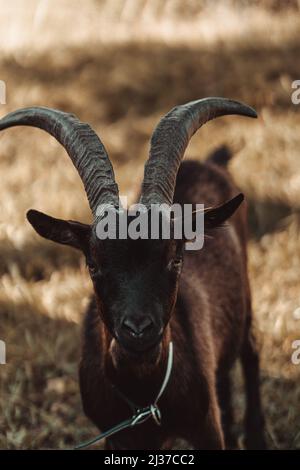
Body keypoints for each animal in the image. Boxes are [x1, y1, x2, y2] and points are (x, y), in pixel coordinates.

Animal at [0, 97, 266, 450]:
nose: (138, 329)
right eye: (93, 265)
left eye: (175, 258)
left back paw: (255, 435)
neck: (144, 400)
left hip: (246, 296)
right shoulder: (116, 436)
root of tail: (208, 162)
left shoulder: (205, 429)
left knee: (251, 350)